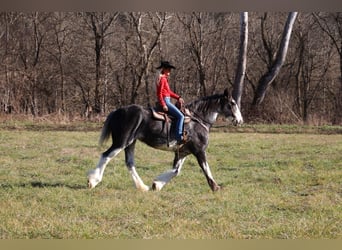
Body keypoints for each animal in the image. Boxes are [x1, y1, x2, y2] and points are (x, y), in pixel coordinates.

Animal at [88, 89, 243, 192]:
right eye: (232, 103)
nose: (240, 120)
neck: (197, 120)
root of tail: (118, 111)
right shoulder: (199, 151)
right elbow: (205, 168)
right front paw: (215, 186)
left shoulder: (182, 152)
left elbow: (175, 170)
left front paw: (157, 184)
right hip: (121, 142)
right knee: (106, 156)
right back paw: (93, 181)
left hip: (130, 143)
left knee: (130, 163)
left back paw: (142, 186)